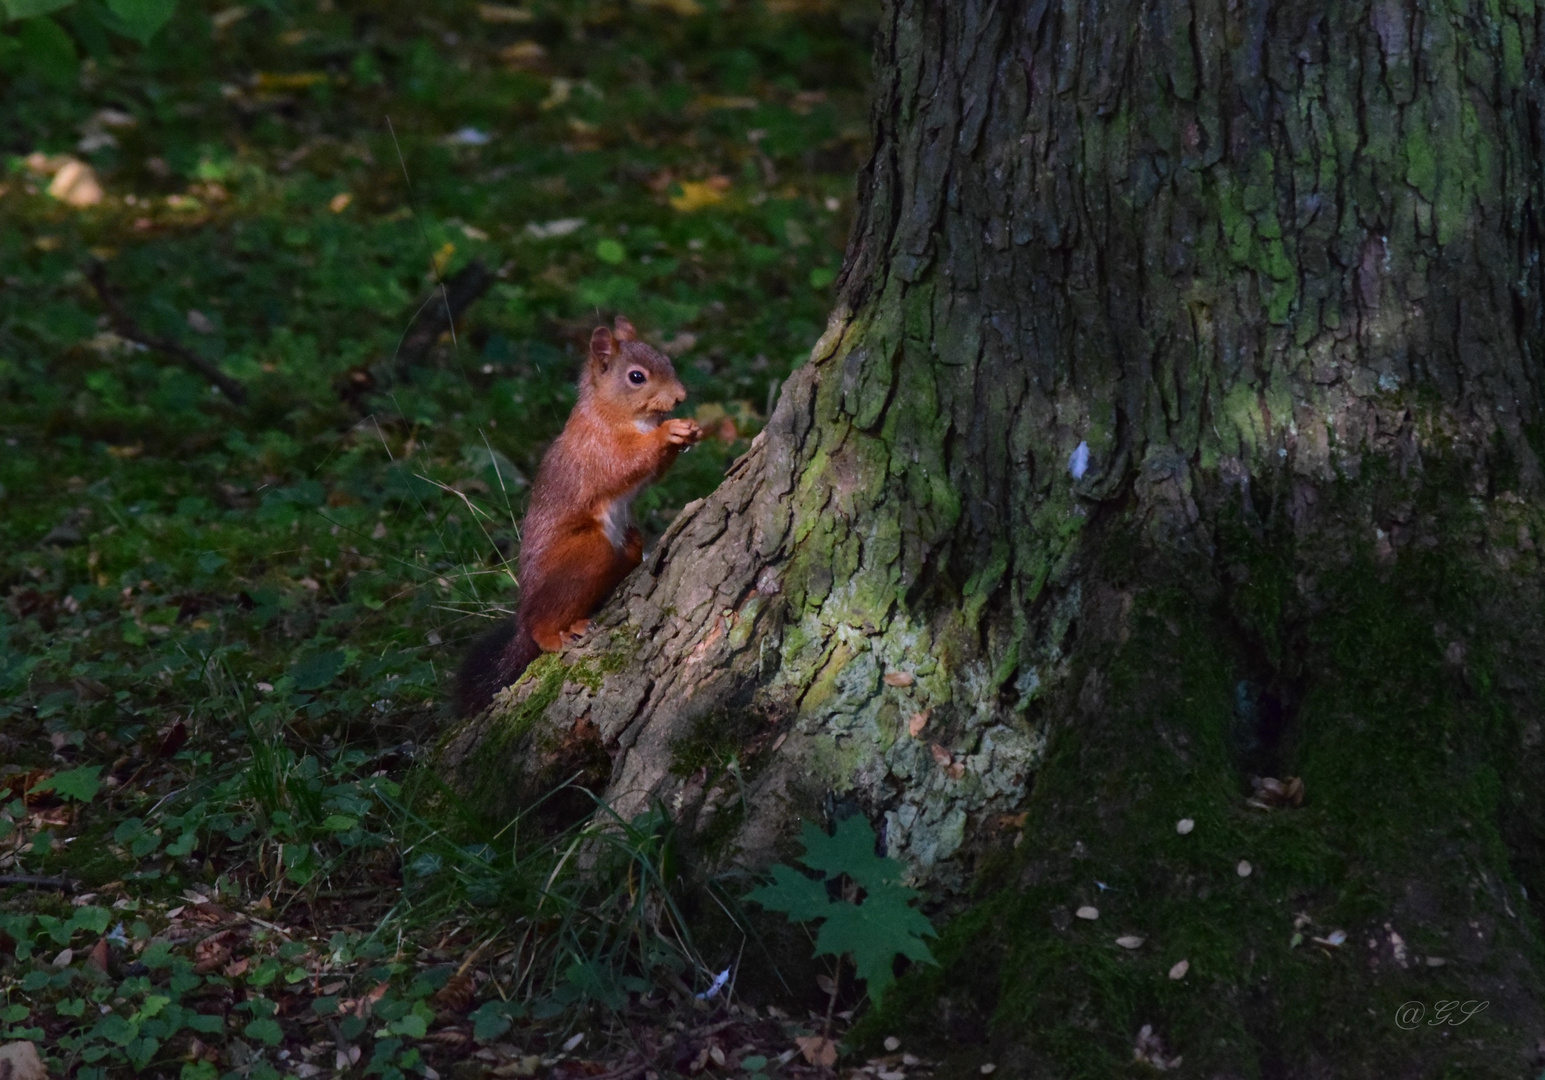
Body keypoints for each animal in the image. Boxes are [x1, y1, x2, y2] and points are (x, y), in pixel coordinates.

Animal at [454, 312, 704, 716]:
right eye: (637, 376)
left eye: (666, 359)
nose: (680, 397)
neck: (615, 412)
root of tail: (524, 611)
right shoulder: (598, 447)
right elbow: (626, 462)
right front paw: (669, 432)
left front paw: (689, 431)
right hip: (585, 553)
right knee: (540, 623)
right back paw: (556, 634)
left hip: (628, 543)